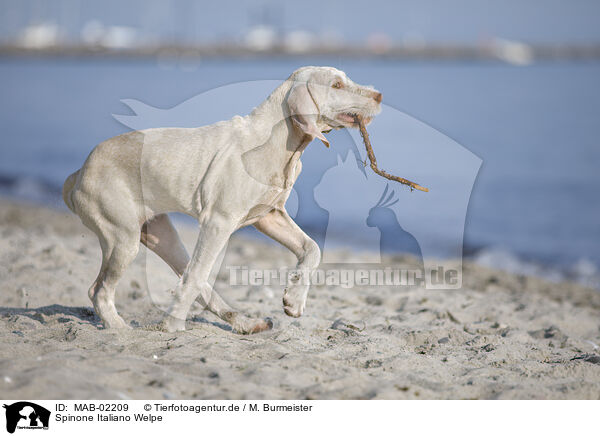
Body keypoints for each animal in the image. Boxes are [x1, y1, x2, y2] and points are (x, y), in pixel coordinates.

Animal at [63, 67, 382, 334]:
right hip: (123, 238)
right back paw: (121, 329)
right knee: (101, 290)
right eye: (337, 85)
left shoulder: (269, 216)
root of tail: (78, 173)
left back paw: (246, 323)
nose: (379, 95)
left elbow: (312, 249)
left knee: (193, 278)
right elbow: (196, 275)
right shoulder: (218, 222)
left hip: (159, 234)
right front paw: (171, 327)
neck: (281, 145)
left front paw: (293, 301)